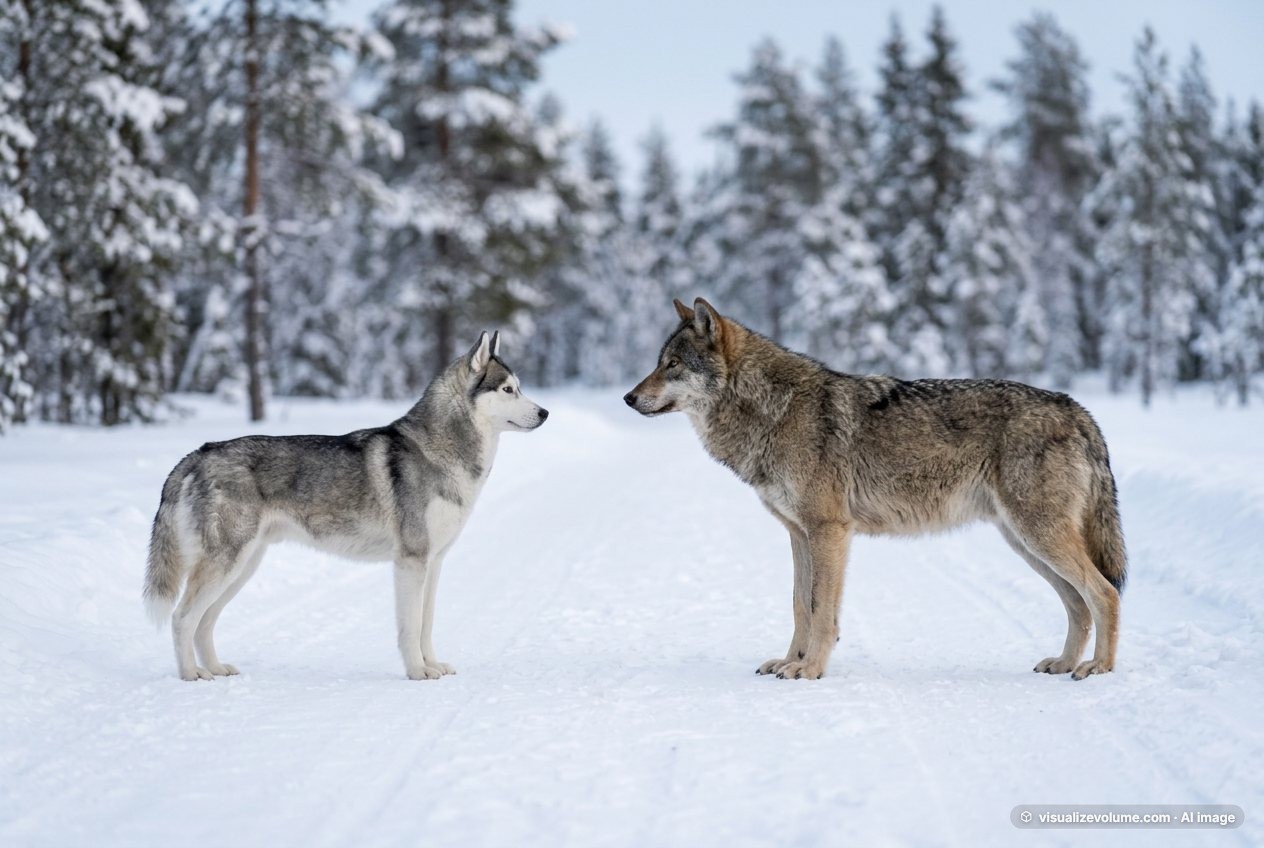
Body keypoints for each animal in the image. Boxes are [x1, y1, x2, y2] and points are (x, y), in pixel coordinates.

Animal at [143, 331, 548, 681]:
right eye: (508, 389)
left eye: (519, 387)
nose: (545, 412)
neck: (443, 450)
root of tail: (199, 453)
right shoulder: (411, 561)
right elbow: (411, 626)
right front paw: (417, 672)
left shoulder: (434, 563)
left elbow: (427, 623)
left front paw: (432, 665)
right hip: (227, 564)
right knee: (182, 618)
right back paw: (191, 674)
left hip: (242, 568)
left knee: (204, 622)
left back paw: (215, 669)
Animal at [625, 298, 1125, 681]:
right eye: (658, 363)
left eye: (672, 365)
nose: (628, 398)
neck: (772, 410)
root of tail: (1079, 410)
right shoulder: (799, 534)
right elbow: (799, 605)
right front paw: (788, 662)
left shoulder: (829, 531)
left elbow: (821, 609)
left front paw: (809, 670)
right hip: (1025, 543)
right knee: (1078, 605)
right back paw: (1064, 663)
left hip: (1038, 536)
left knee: (1104, 594)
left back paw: (1098, 669)